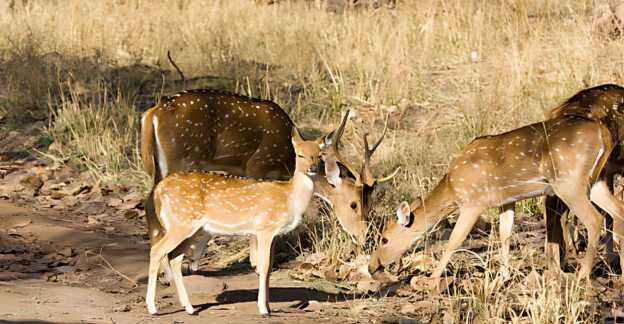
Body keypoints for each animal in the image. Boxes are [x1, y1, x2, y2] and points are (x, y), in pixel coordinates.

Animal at [140, 90, 400, 282]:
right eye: (353, 204)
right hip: (182, 157)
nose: (364, 237)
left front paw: (195, 262)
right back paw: (165, 273)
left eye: (370, 203)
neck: (288, 159)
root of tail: (151, 114)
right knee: (154, 204)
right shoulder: (257, 165)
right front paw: (258, 263)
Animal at [368, 114, 624, 280]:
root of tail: (604, 134)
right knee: (618, 209)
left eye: (384, 238)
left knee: (595, 219)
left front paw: (431, 279)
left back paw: (582, 274)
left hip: (568, 182)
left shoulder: (473, 201)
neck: (451, 185)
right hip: (596, 180)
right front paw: (503, 274)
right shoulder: (507, 200)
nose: (371, 267)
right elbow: (504, 234)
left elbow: (455, 239)